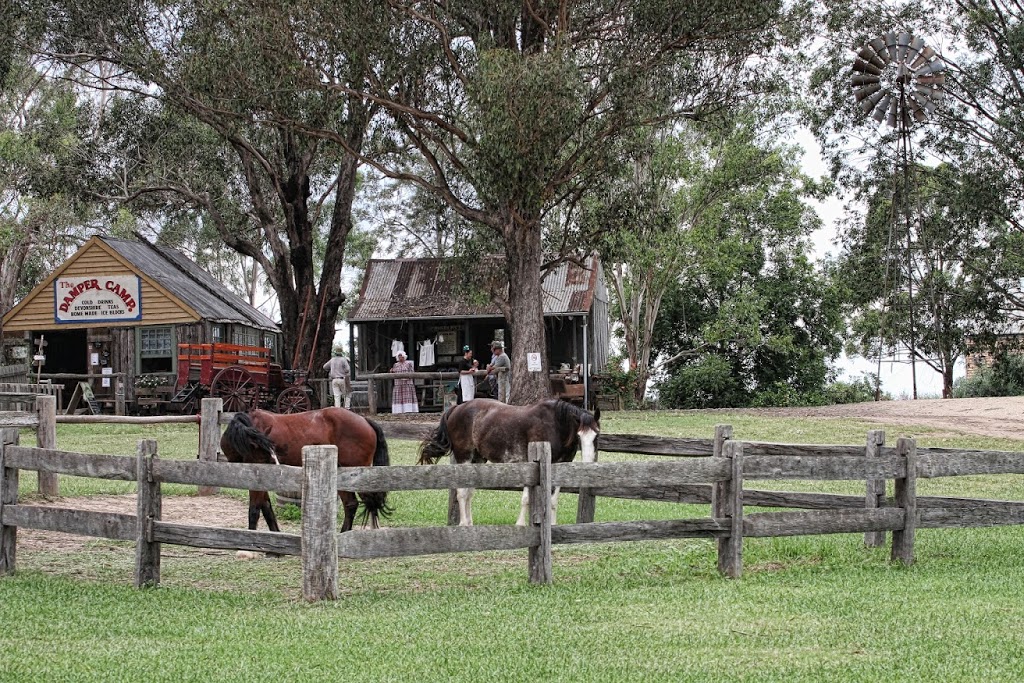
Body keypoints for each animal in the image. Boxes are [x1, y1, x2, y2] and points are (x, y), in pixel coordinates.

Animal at [220, 405, 391, 532]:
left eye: (270, 450)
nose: (274, 464)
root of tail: (364, 420)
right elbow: (266, 507)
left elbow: (255, 509)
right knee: (351, 504)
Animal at [417, 401, 598, 528]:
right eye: (579, 435)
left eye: (596, 435)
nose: (588, 462)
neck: (555, 424)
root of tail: (455, 408)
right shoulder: (531, 466)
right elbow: (526, 499)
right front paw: (520, 524)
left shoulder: (560, 467)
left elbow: (553, 501)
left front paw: (553, 525)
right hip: (464, 458)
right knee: (461, 493)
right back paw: (463, 524)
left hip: (478, 459)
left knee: (468, 493)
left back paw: (469, 523)